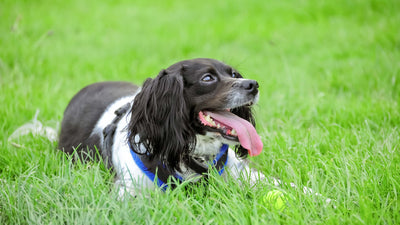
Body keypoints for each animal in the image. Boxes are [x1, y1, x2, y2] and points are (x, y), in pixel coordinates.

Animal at [56, 58, 332, 204]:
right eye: (207, 78)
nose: (253, 84)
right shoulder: (126, 191)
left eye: (234, 73)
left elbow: (289, 186)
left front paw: (326, 199)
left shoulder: (242, 173)